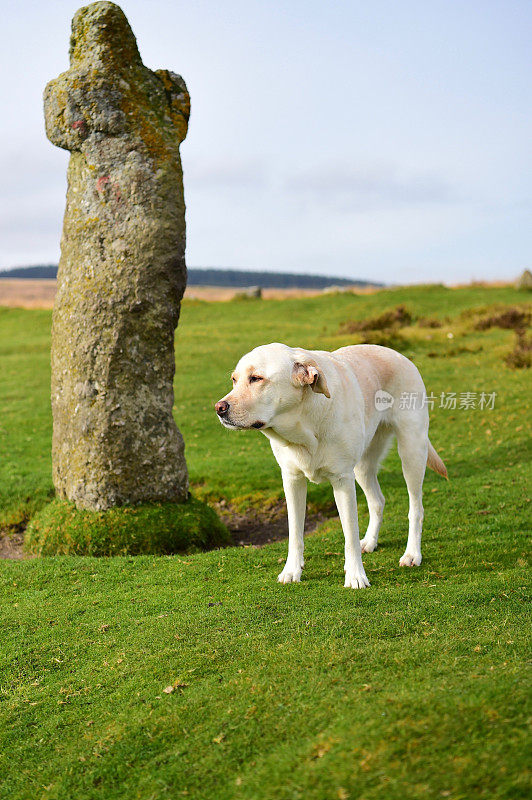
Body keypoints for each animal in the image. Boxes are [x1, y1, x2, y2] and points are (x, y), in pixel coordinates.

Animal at [214, 342, 446, 588]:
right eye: (234, 379)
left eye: (256, 378)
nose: (219, 408)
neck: (304, 424)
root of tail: (398, 354)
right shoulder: (292, 480)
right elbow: (295, 533)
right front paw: (292, 570)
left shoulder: (342, 481)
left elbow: (350, 534)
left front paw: (355, 576)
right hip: (363, 465)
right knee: (377, 501)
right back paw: (370, 541)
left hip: (412, 452)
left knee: (416, 508)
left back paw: (412, 554)